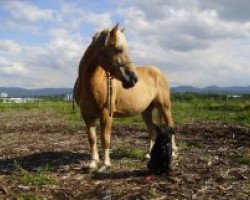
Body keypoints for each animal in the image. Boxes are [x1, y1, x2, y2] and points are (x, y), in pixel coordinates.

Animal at [73, 22, 177, 171]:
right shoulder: (87, 115)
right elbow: (91, 138)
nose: (133, 79)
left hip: (164, 107)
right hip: (146, 111)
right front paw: (93, 163)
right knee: (152, 130)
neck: (91, 84)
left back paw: (173, 152)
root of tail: (159, 72)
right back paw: (148, 154)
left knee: (170, 126)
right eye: (118, 49)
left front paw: (105, 165)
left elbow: (105, 138)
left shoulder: (106, 114)